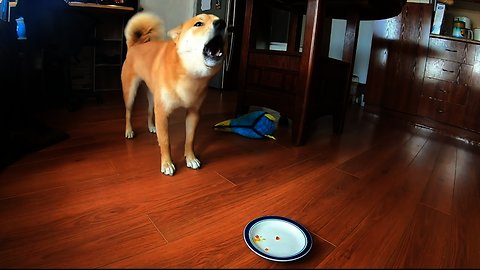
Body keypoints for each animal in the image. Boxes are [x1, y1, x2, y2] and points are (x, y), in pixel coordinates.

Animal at [120, 11, 225, 176]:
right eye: (198, 24)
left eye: (220, 20)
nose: (222, 23)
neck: (188, 73)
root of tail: (134, 46)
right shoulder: (163, 113)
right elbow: (165, 141)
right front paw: (167, 163)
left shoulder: (194, 113)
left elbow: (190, 139)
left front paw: (191, 158)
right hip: (130, 93)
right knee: (128, 113)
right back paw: (129, 131)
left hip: (152, 96)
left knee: (149, 111)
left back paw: (152, 127)